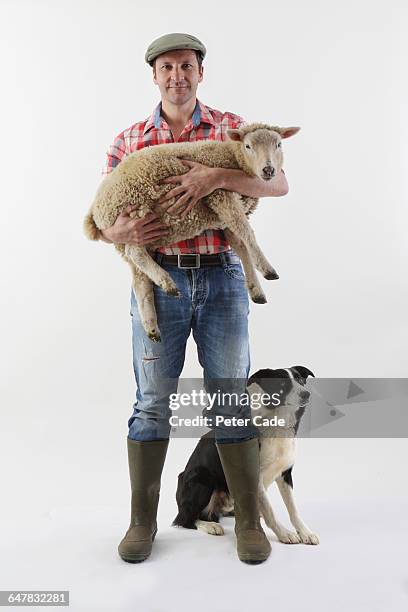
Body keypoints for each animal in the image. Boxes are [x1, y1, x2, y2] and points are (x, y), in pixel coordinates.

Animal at [83, 122, 300, 342]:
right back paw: (166, 282)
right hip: (133, 215)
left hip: (135, 236)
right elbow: (247, 234)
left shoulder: (224, 218)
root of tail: (95, 209)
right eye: (248, 146)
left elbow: (241, 247)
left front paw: (256, 289)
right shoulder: (220, 195)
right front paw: (267, 269)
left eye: (279, 144)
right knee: (135, 253)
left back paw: (153, 324)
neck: (232, 156)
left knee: (140, 279)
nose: (269, 170)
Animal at [172, 364, 318, 544]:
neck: (275, 422)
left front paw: (305, 532)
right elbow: (270, 511)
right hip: (202, 477)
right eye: (282, 383)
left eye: (300, 380)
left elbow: (293, 509)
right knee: (185, 519)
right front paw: (284, 533)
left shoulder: (285, 473)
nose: (306, 393)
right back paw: (210, 526)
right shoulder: (255, 476)